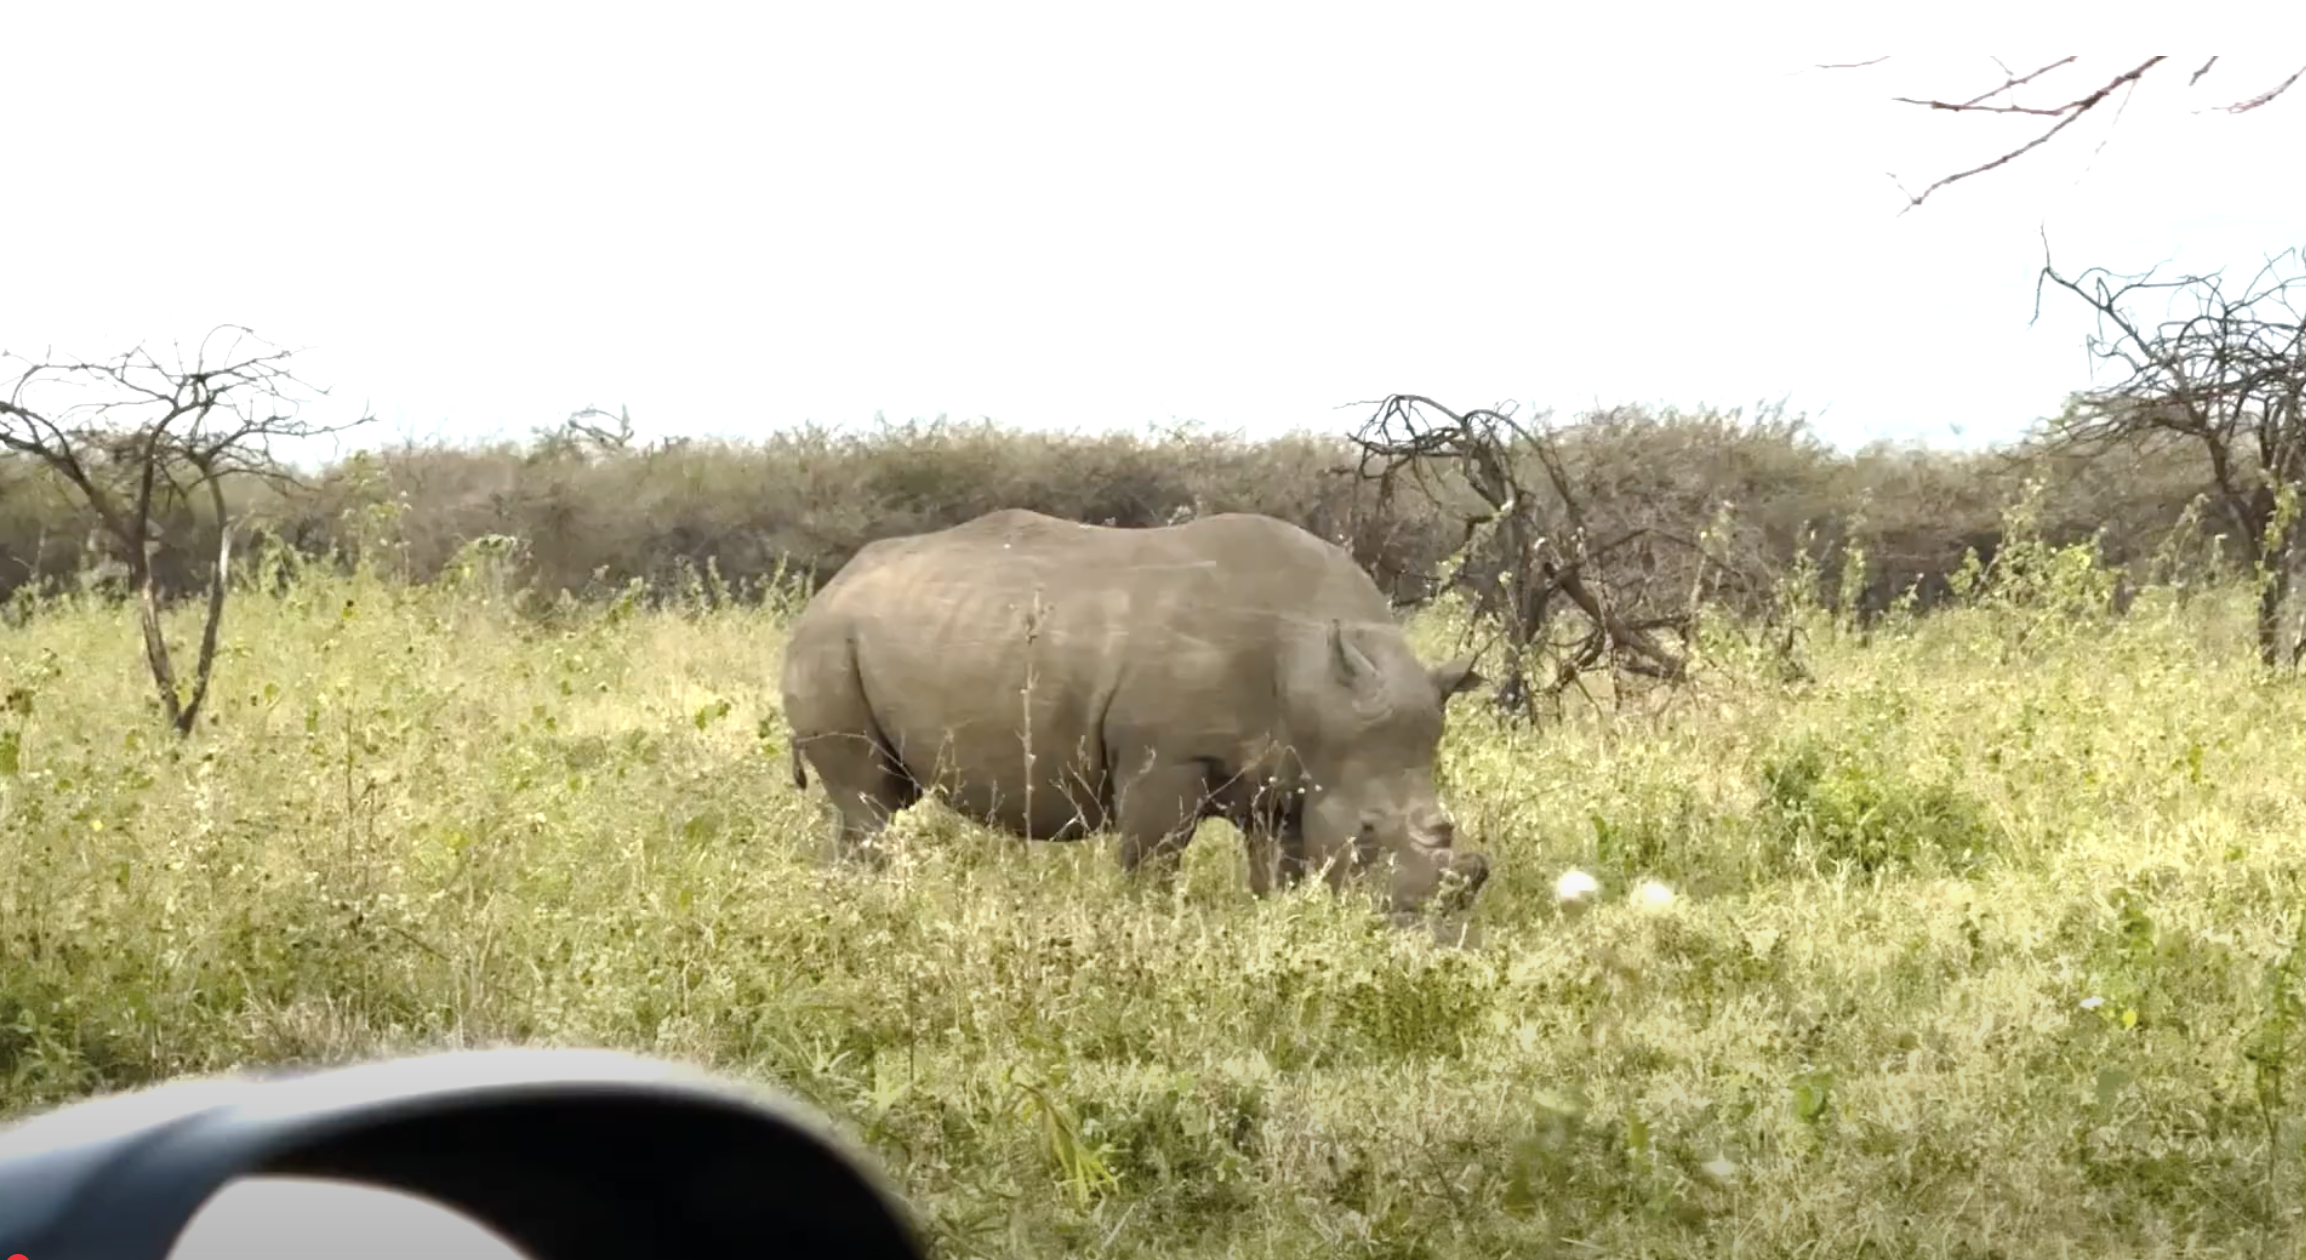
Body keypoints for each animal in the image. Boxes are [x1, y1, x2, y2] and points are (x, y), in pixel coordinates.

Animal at [778, 508, 1492, 916]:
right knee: (868, 800)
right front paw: (1146, 930)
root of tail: (830, 587)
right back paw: (876, 904)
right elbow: (1153, 859)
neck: (1315, 674)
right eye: (1368, 832)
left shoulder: (1286, 772)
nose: (1416, 923)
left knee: (877, 800)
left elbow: (1279, 865)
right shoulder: (1166, 754)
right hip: (828, 642)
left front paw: (1277, 922)